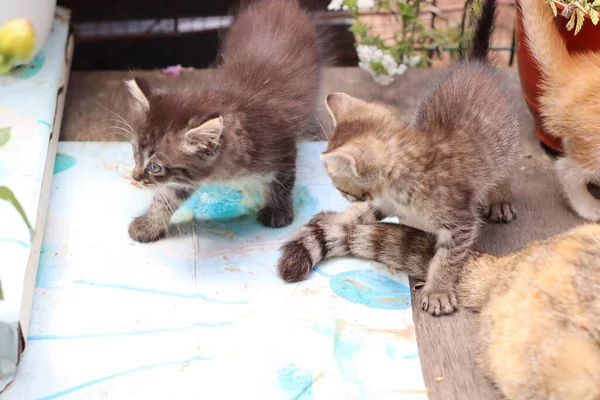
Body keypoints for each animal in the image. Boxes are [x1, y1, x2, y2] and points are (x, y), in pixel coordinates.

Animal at [123, 0, 326, 242]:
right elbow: (165, 196)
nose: (135, 177)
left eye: (155, 167)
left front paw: (278, 212)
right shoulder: (189, 175)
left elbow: (282, 182)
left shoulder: (282, 148)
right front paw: (149, 225)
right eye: (134, 153)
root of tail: (279, 3)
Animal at [318, 0, 520, 316]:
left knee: (504, 172)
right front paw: (336, 219)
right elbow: (362, 214)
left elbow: (447, 258)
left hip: (505, 144)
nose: (342, 196)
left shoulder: (461, 222)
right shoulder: (383, 201)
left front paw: (438, 291)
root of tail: (475, 64)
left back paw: (500, 200)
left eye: (340, 185)